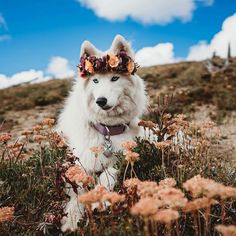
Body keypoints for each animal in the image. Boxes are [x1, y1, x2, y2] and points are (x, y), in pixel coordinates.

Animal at [56, 34, 147, 231]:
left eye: (115, 78)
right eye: (95, 80)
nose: (101, 101)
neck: (107, 130)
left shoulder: (122, 158)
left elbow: (108, 173)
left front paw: (101, 197)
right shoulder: (81, 162)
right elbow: (76, 192)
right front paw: (71, 218)